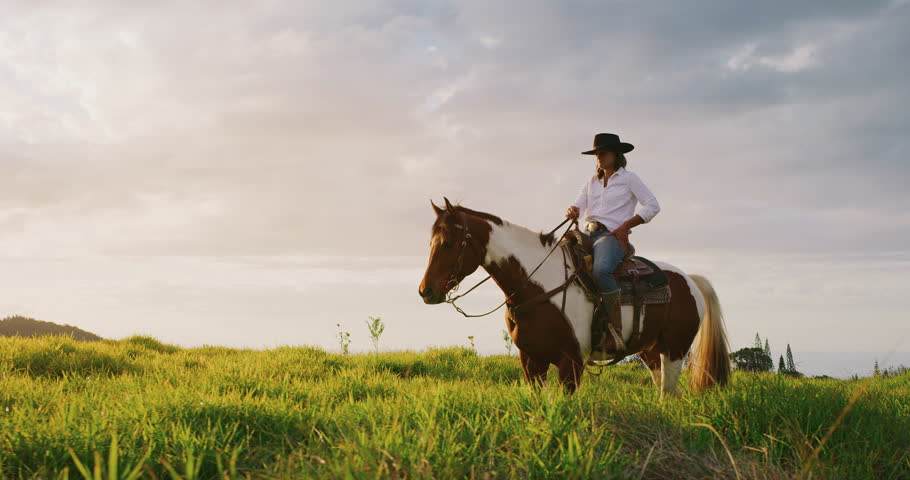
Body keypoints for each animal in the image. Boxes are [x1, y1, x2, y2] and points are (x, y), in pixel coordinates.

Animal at [422, 198, 732, 398]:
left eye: (448, 243)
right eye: (431, 242)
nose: (426, 291)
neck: (538, 285)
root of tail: (689, 278)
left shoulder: (571, 361)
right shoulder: (531, 360)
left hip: (676, 347)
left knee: (669, 390)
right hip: (650, 350)